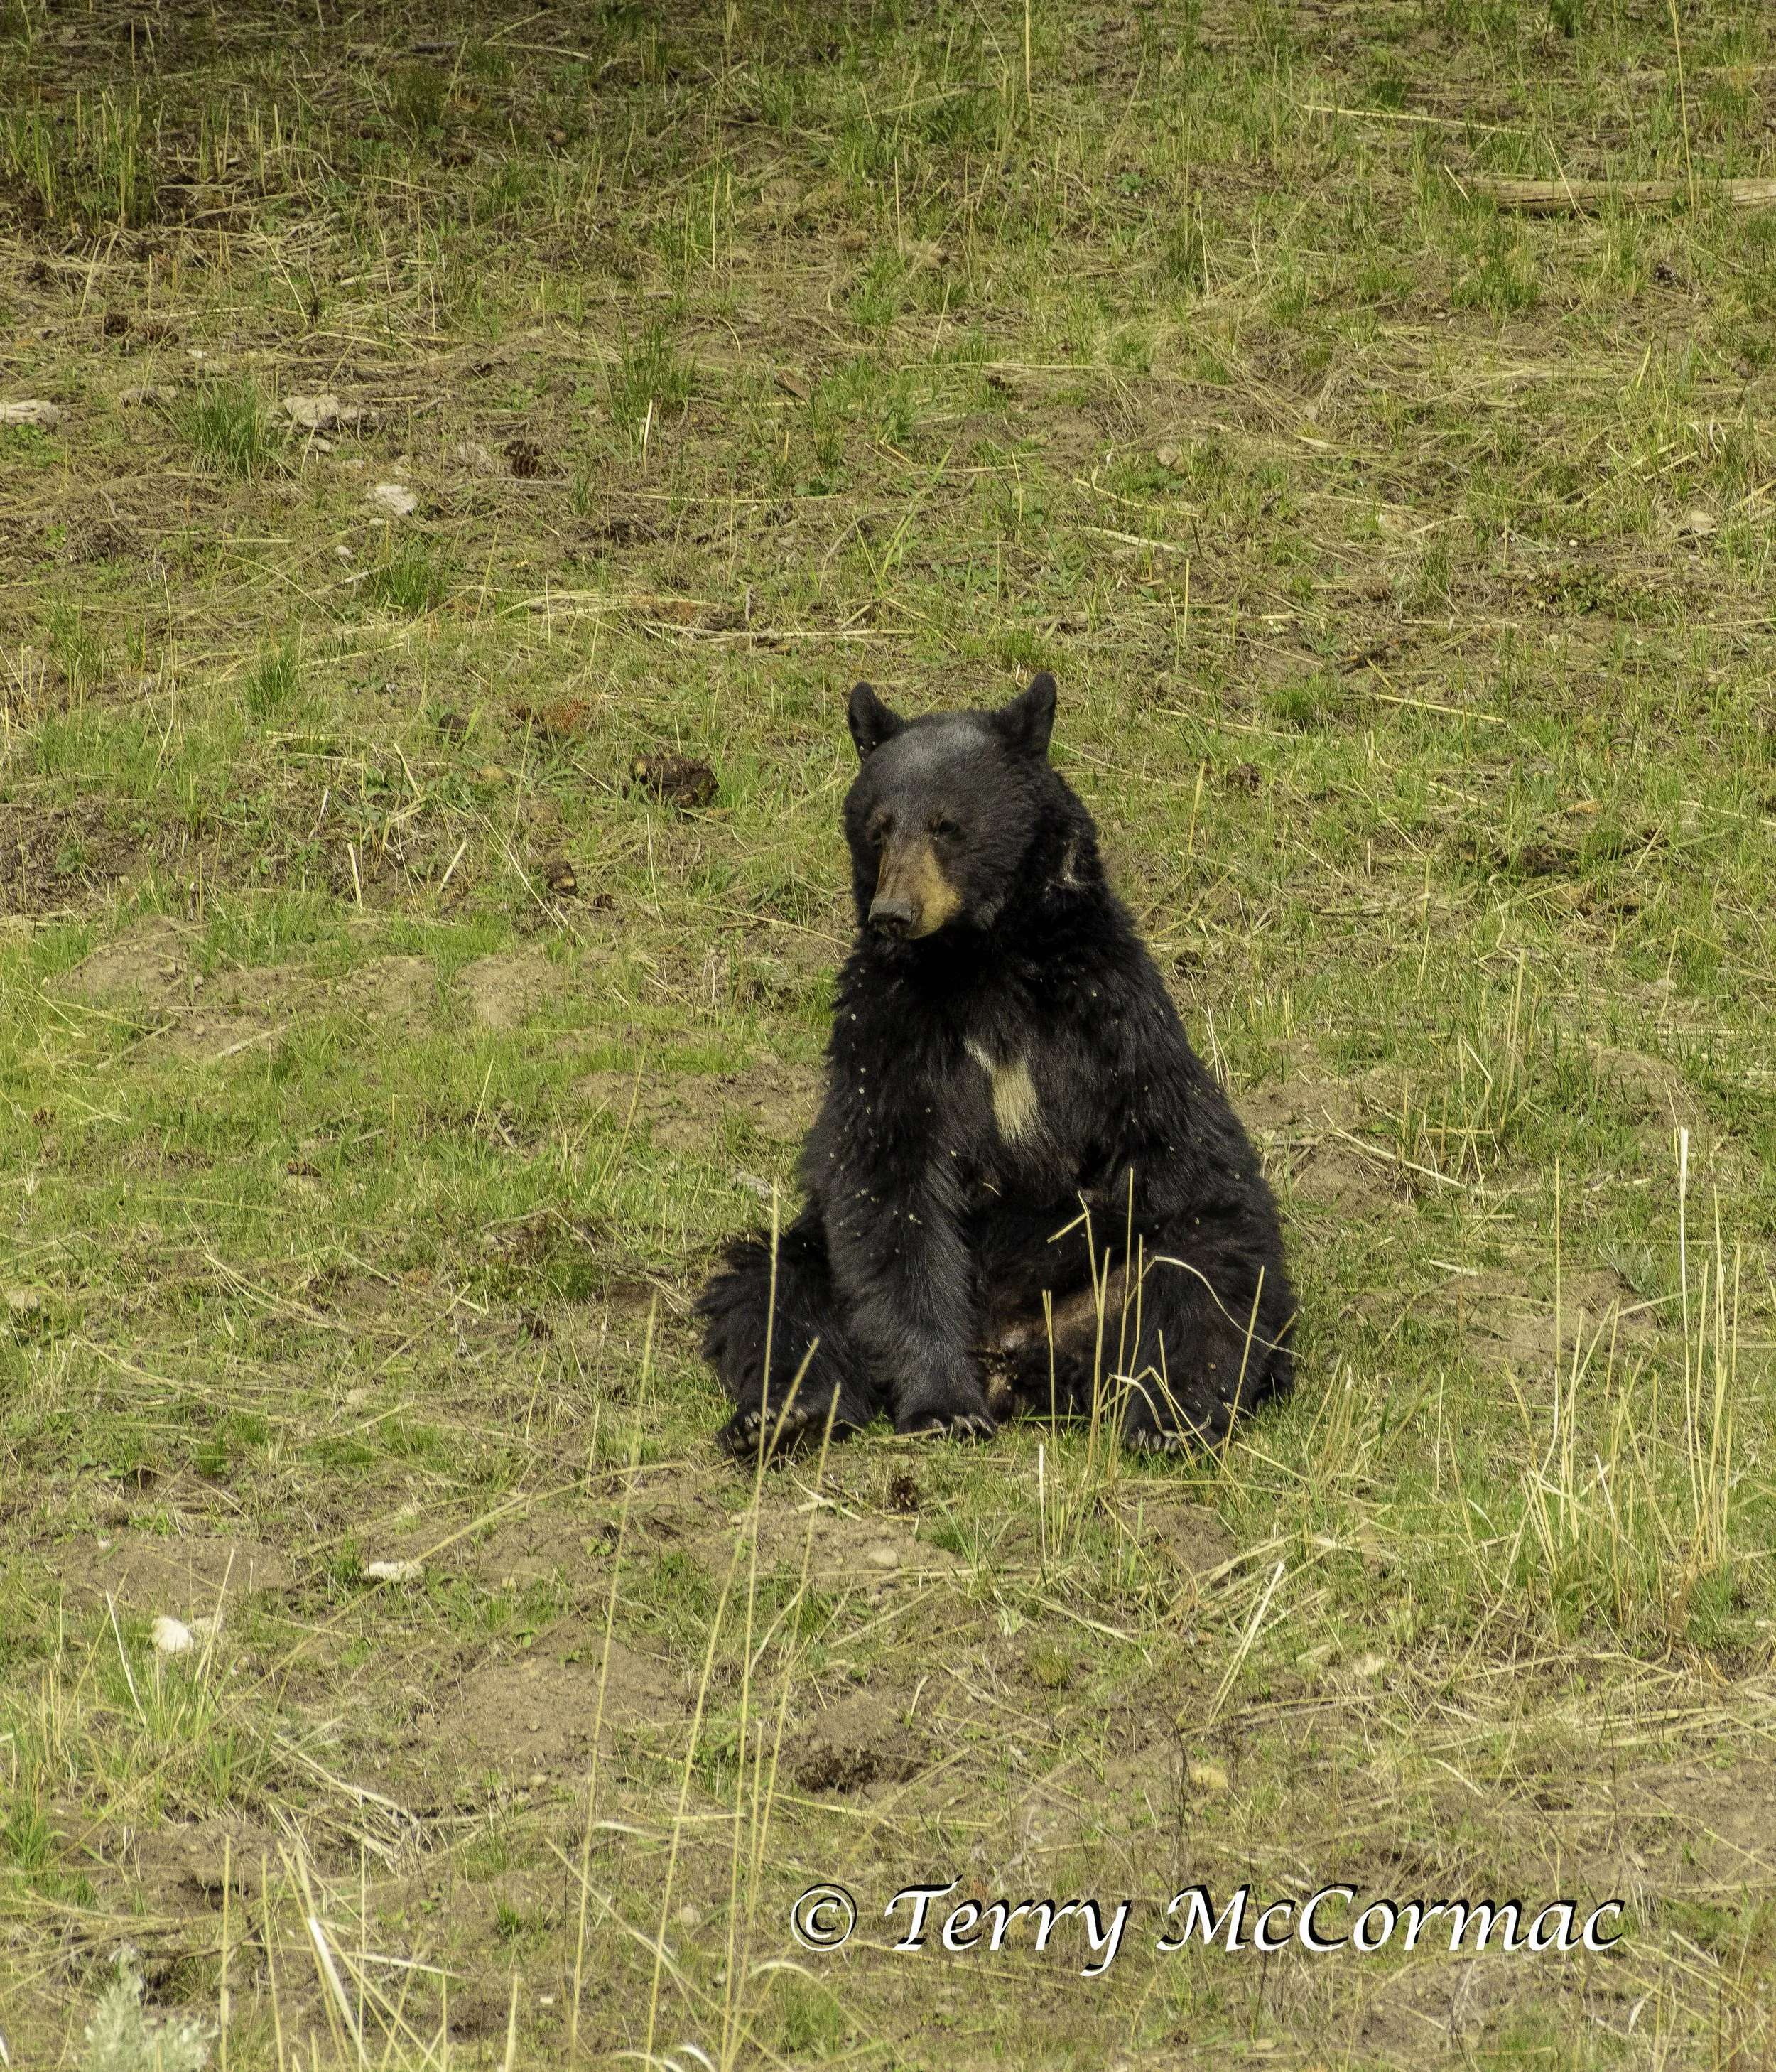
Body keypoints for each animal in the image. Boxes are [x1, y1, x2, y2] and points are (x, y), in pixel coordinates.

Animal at [696, 671, 1296, 1457]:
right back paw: (786, 1412)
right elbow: (889, 1189)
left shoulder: (1112, 1020)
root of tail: (1009, 1359)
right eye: (878, 826)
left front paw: (1174, 1417)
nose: (893, 911)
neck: (981, 963)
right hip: (814, 1255)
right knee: (771, 1294)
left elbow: (1192, 1174)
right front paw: (944, 1405)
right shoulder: (885, 1031)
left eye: (947, 825)